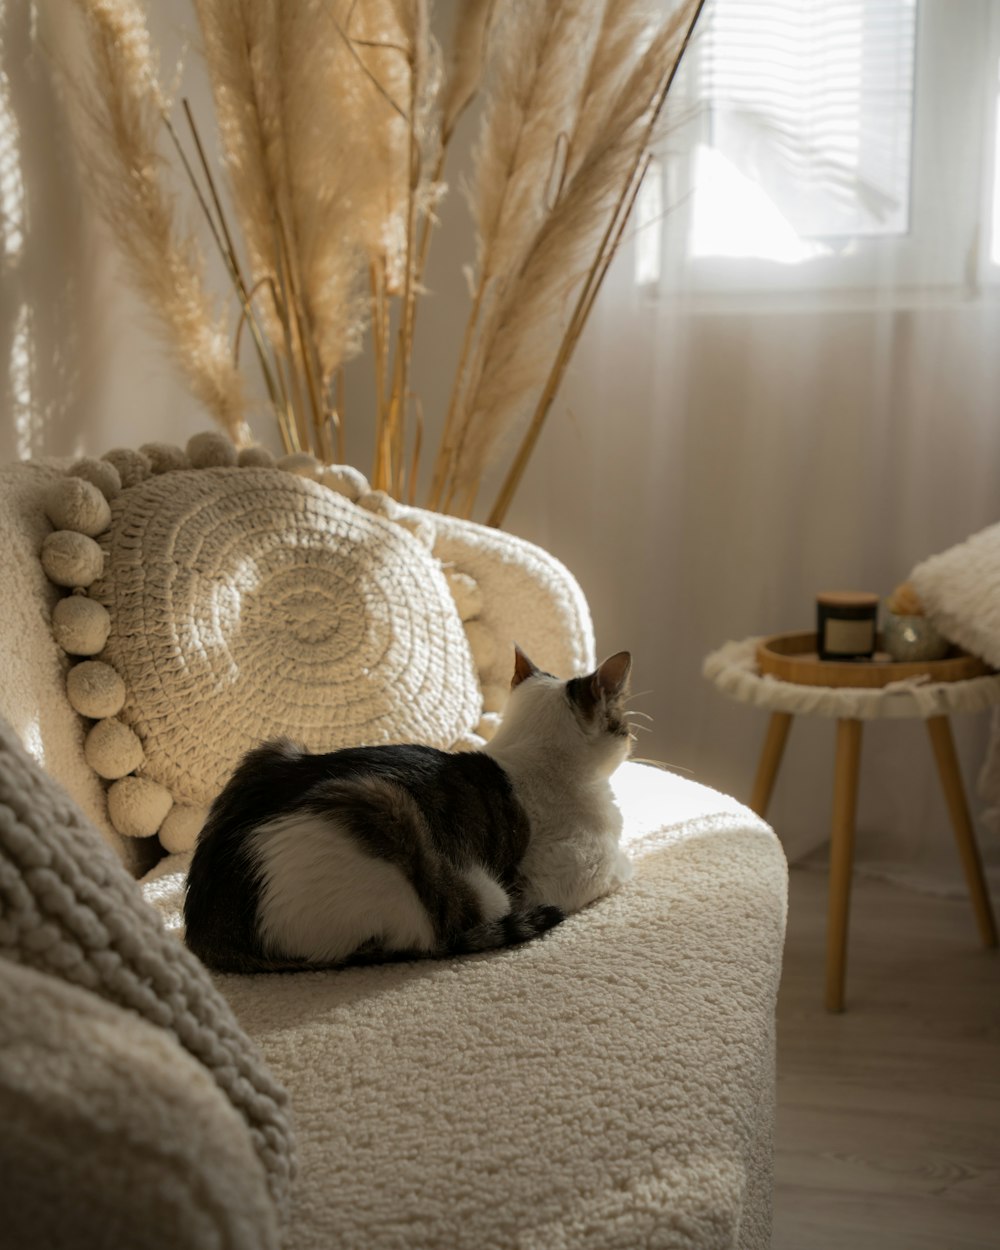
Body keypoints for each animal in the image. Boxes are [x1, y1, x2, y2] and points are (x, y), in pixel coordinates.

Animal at [183, 650, 632, 970]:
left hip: (271, 751)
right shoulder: (572, 873)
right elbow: (622, 868)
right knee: (428, 935)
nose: (631, 738)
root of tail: (207, 930)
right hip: (395, 828)